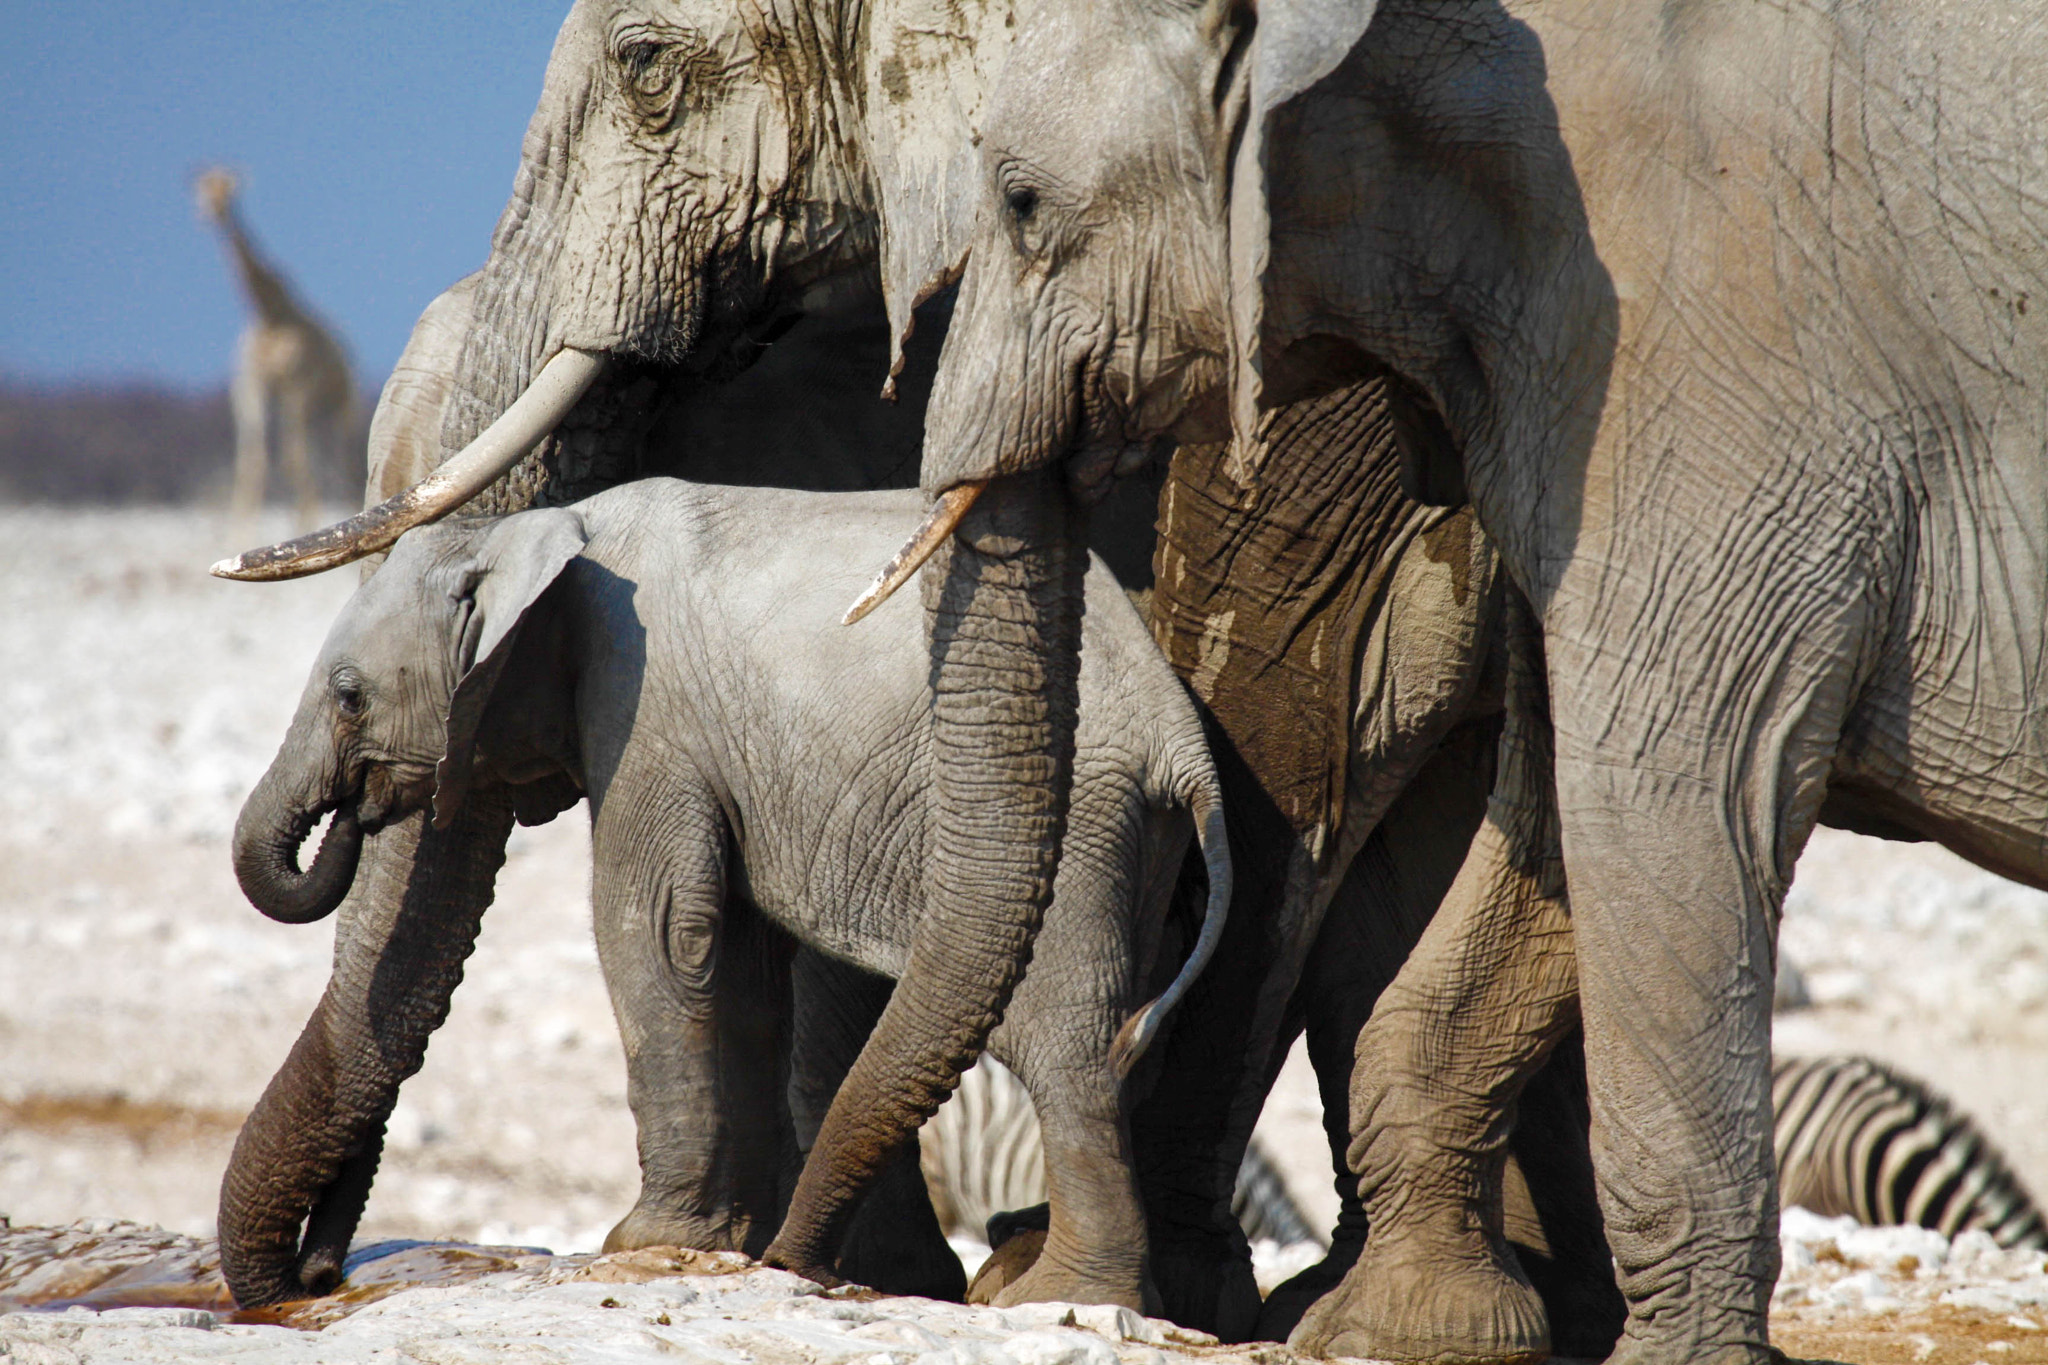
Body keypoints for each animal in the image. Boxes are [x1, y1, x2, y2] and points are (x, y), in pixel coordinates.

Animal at [221, 476, 1231, 1312]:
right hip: (1135, 835)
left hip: (1081, 824)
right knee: (1125, 1036)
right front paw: (726, 1244)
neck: (539, 529)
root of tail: (1178, 738)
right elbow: (732, 960)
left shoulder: (642, 701)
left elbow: (658, 925)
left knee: (1067, 1044)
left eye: (348, 694)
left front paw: (641, 1239)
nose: (320, 1275)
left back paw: (1058, 1298)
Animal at [888, 0, 2048, 1360]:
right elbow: (1551, 827)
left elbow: (1662, 805)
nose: (992, 1278)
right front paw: (1395, 1331)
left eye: (1020, 204)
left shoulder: (1707, 377)